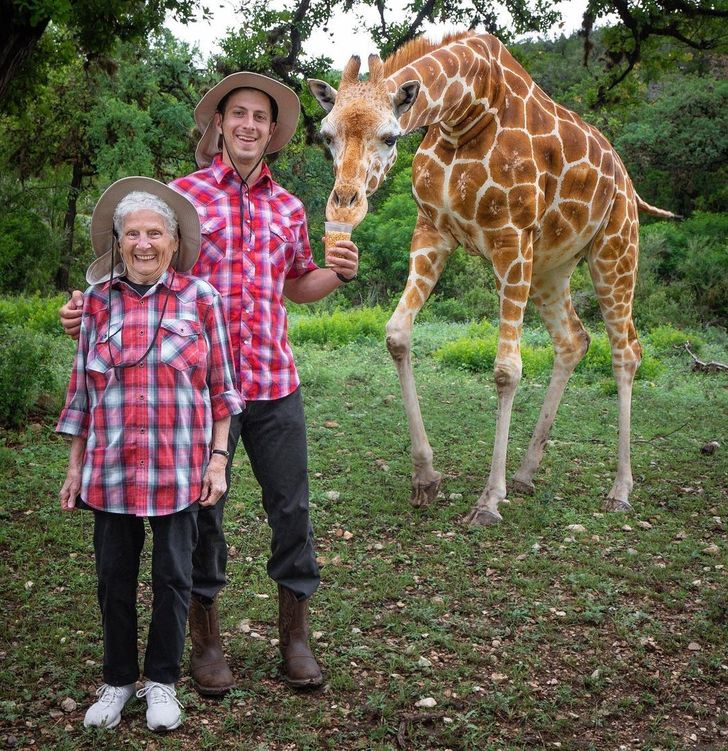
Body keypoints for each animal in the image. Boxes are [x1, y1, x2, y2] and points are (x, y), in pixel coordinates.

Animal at [308, 32, 676, 524]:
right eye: (326, 135)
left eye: (390, 136)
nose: (344, 208)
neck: (462, 116)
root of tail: (628, 184)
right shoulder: (432, 230)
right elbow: (397, 334)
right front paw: (425, 477)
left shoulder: (510, 237)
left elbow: (506, 369)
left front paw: (487, 500)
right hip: (551, 266)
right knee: (574, 340)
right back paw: (525, 472)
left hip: (615, 248)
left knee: (626, 351)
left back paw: (619, 490)